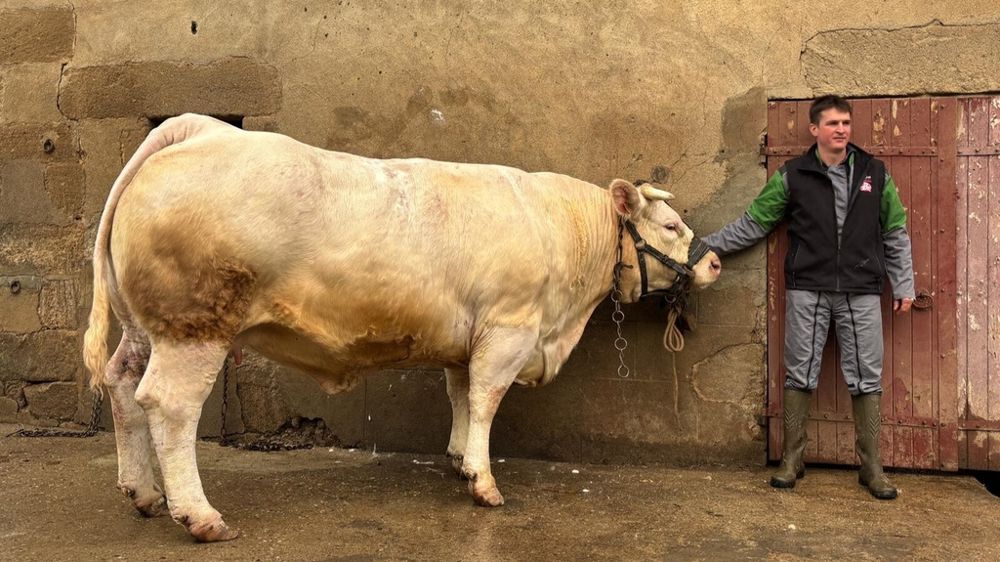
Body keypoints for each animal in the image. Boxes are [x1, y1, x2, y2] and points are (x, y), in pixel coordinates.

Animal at [83, 114, 721, 542]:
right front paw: (484, 483)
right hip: (195, 326)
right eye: (670, 225)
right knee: (168, 405)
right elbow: (487, 400)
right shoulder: (509, 329)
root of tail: (199, 129)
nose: (714, 261)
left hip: (145, 327)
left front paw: (461, 459)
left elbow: (461, 396)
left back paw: (144, 492)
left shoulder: (469, 341)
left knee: (122, 384)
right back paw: (200, 516)